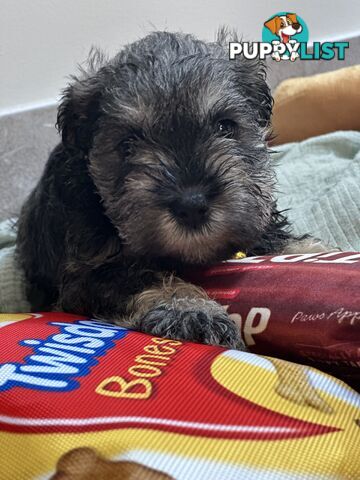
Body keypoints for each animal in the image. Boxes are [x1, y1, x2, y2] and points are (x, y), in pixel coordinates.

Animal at [16, 31, 326, 350]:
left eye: (225, 127)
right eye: (127, 145)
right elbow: (145, 277)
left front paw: (313, 254)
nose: (192, 205)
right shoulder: (86, 277)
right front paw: (191, 309)